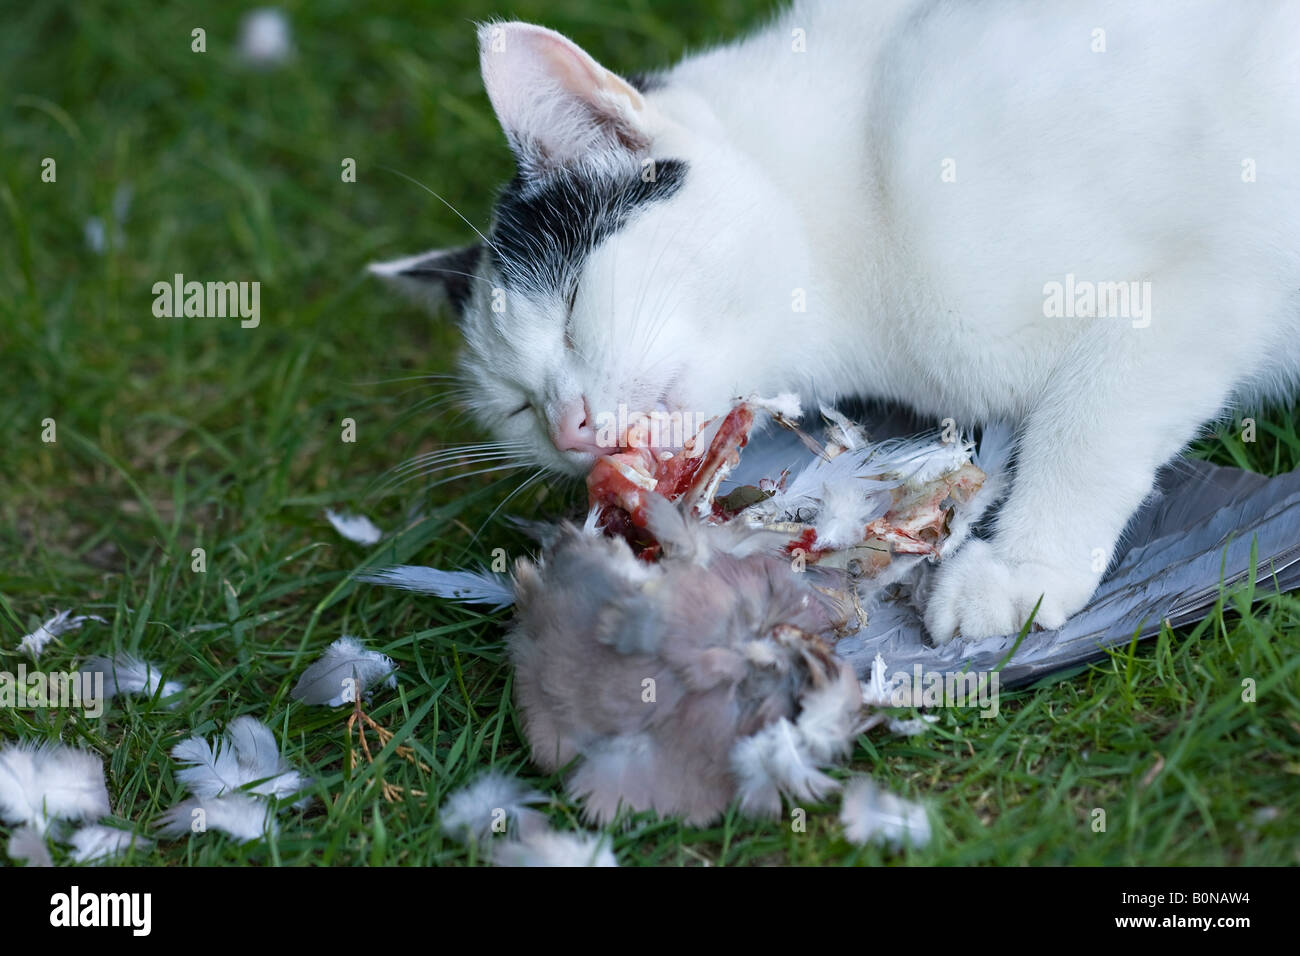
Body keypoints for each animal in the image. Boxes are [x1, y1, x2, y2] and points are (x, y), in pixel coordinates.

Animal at [374, 1, 1300, 642]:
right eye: (516, 405)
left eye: (570, 308)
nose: (568, 427)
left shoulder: (1218, 272)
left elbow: (1089, 418)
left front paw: (1019, 566)